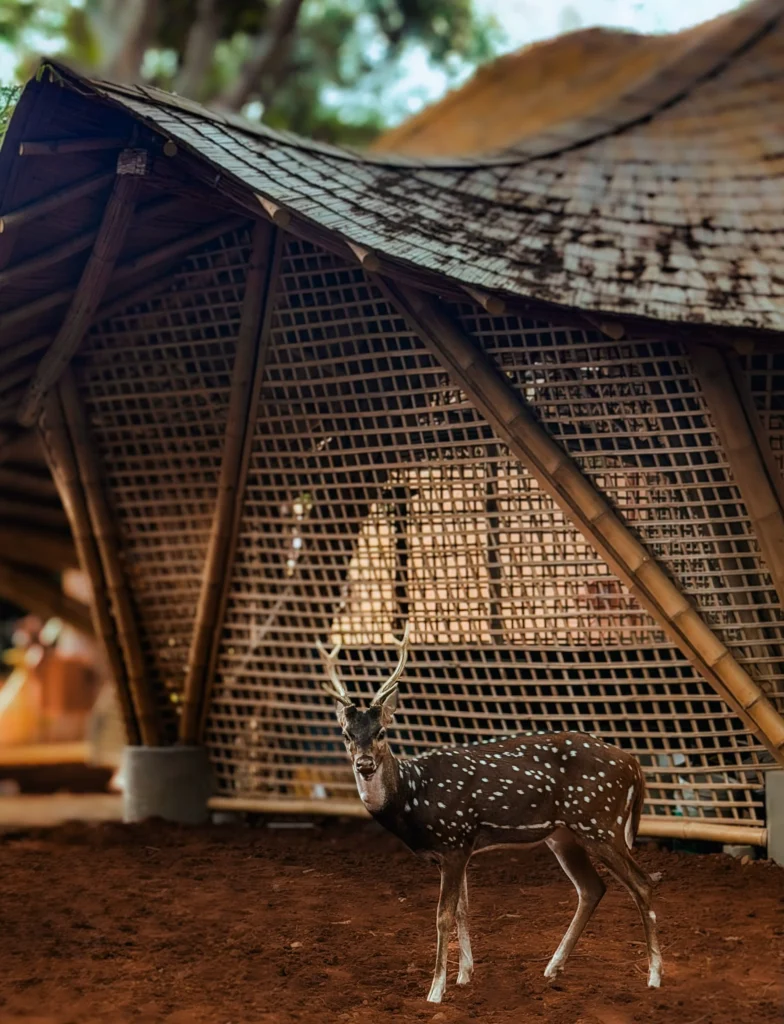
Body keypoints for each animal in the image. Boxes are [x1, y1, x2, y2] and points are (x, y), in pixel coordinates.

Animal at [317, 624, 663, 1004]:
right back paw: (553, 968)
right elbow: (463, 910)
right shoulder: (456, 849)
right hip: (564, 834)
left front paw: (435, 991)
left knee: (642, 883)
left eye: (381, 732)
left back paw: (654, 977)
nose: (364, 764)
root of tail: (635, 766)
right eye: (347, 734)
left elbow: (443, 915)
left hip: (600, 822)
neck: (413, 797)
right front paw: (464, 975)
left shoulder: (454, 840)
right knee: (592, 888)